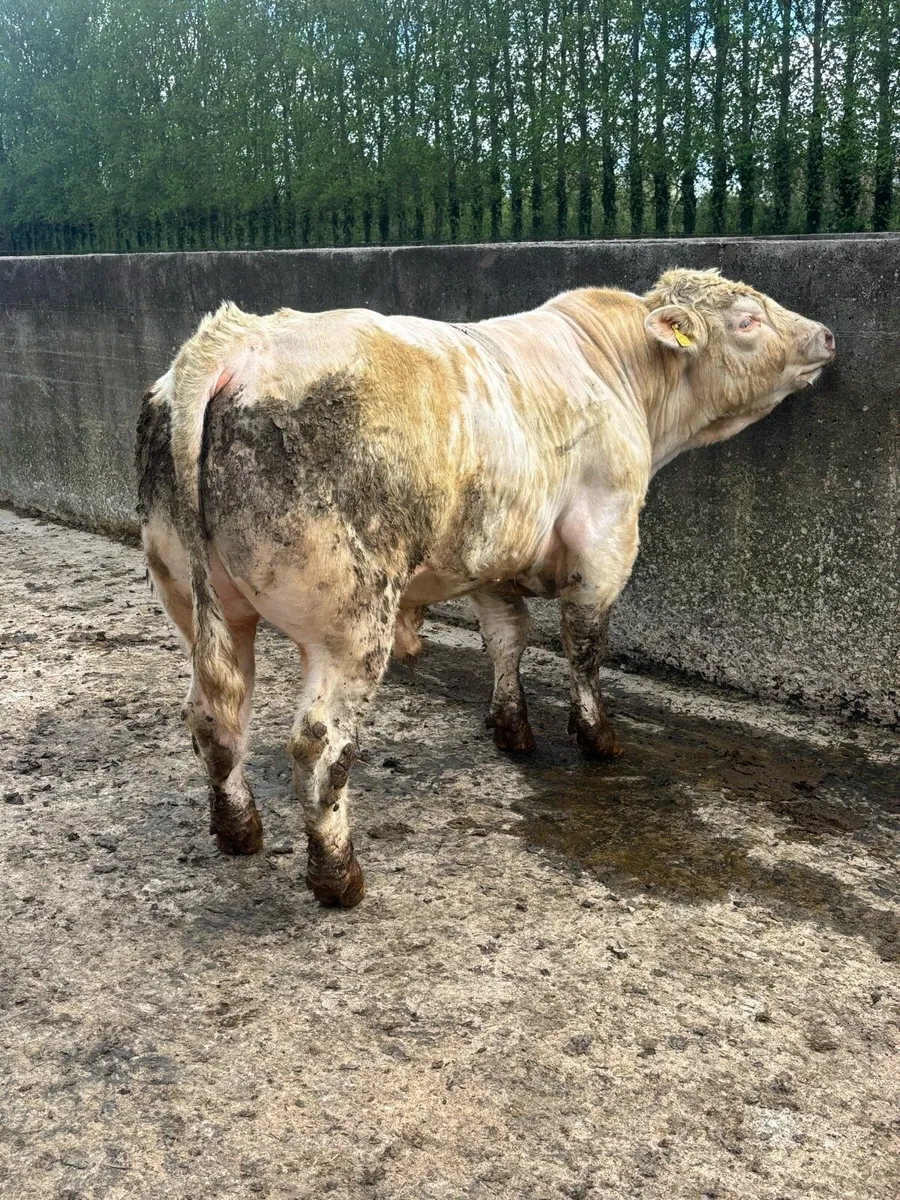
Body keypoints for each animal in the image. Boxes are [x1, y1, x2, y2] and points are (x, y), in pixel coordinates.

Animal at [135, 268, 835, 908]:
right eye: (747, 319)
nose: (826, 334)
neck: (618, 372)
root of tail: (233, 338)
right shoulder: (604, 543)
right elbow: (585, 647)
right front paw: (597, 738)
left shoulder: (494, 557)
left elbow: (507, 639)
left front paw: (512, 726)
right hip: (349, 623)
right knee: (317, 746)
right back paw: (338, 875)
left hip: (198, 603)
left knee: (215, 718)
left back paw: (238, 830)